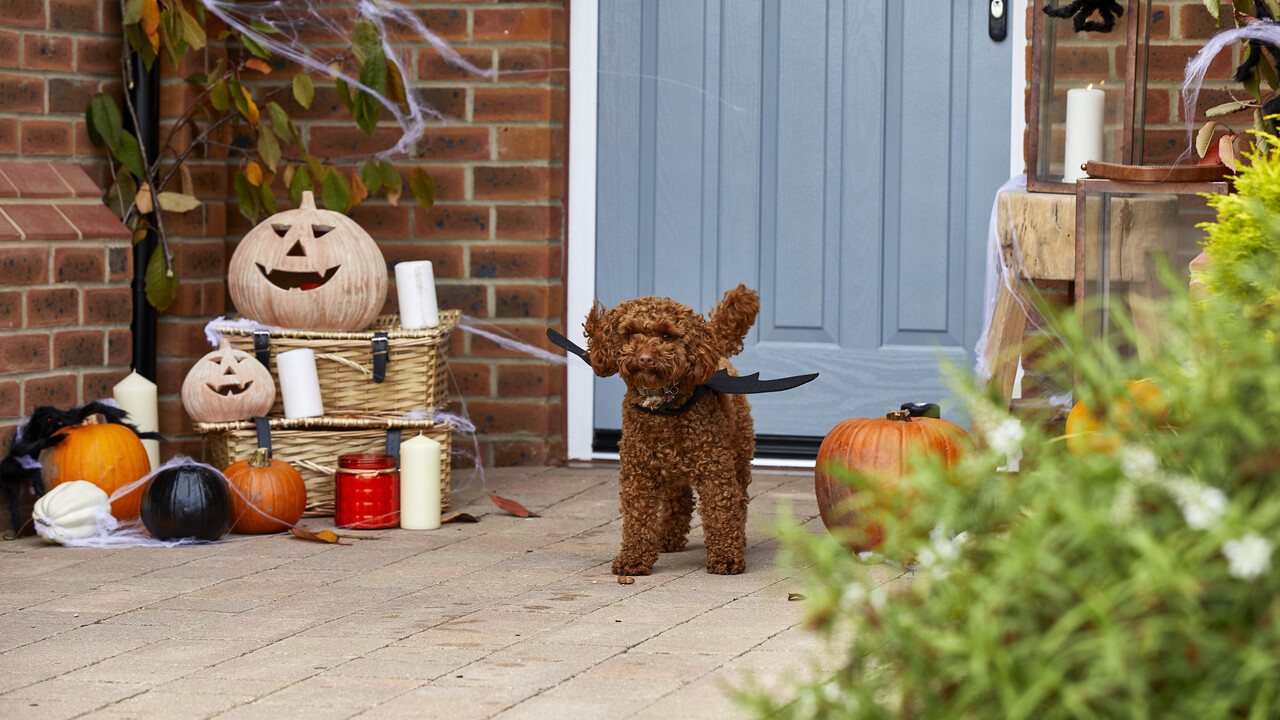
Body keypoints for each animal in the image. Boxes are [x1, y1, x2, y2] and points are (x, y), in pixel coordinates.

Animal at [586, 283, 757, 573]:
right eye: (630, 334)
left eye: (666, 335)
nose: (644, 358)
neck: (662, 405)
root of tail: (718, 350)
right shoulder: (638, 470)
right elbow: (637, 516)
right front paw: (633, 558)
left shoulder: (714, 467)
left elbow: (721, 510)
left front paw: (726, 556)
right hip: (672, 470)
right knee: (681, 500)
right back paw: (667, 538)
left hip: (739, 454)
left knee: (739, 499)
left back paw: (739, 540)